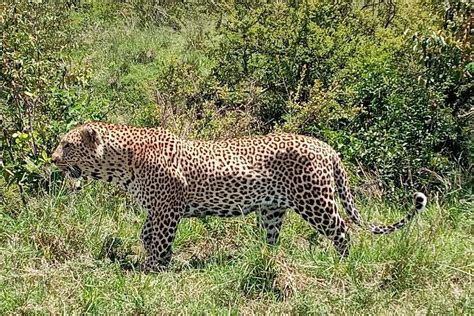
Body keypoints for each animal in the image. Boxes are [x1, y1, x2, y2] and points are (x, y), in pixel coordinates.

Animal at [52, 121, 430, 272]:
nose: (52, 158)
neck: (122, 163)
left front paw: (152, 270)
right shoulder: (156, 209)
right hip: (272, 209)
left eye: (67, 145)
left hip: (315, 200)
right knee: (272, 239)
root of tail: (327, 147)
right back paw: (262, 260)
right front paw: (150, 263)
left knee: (342, 230)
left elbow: (158, 240)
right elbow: (146, 235)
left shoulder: (167, 209)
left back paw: (342, 263)